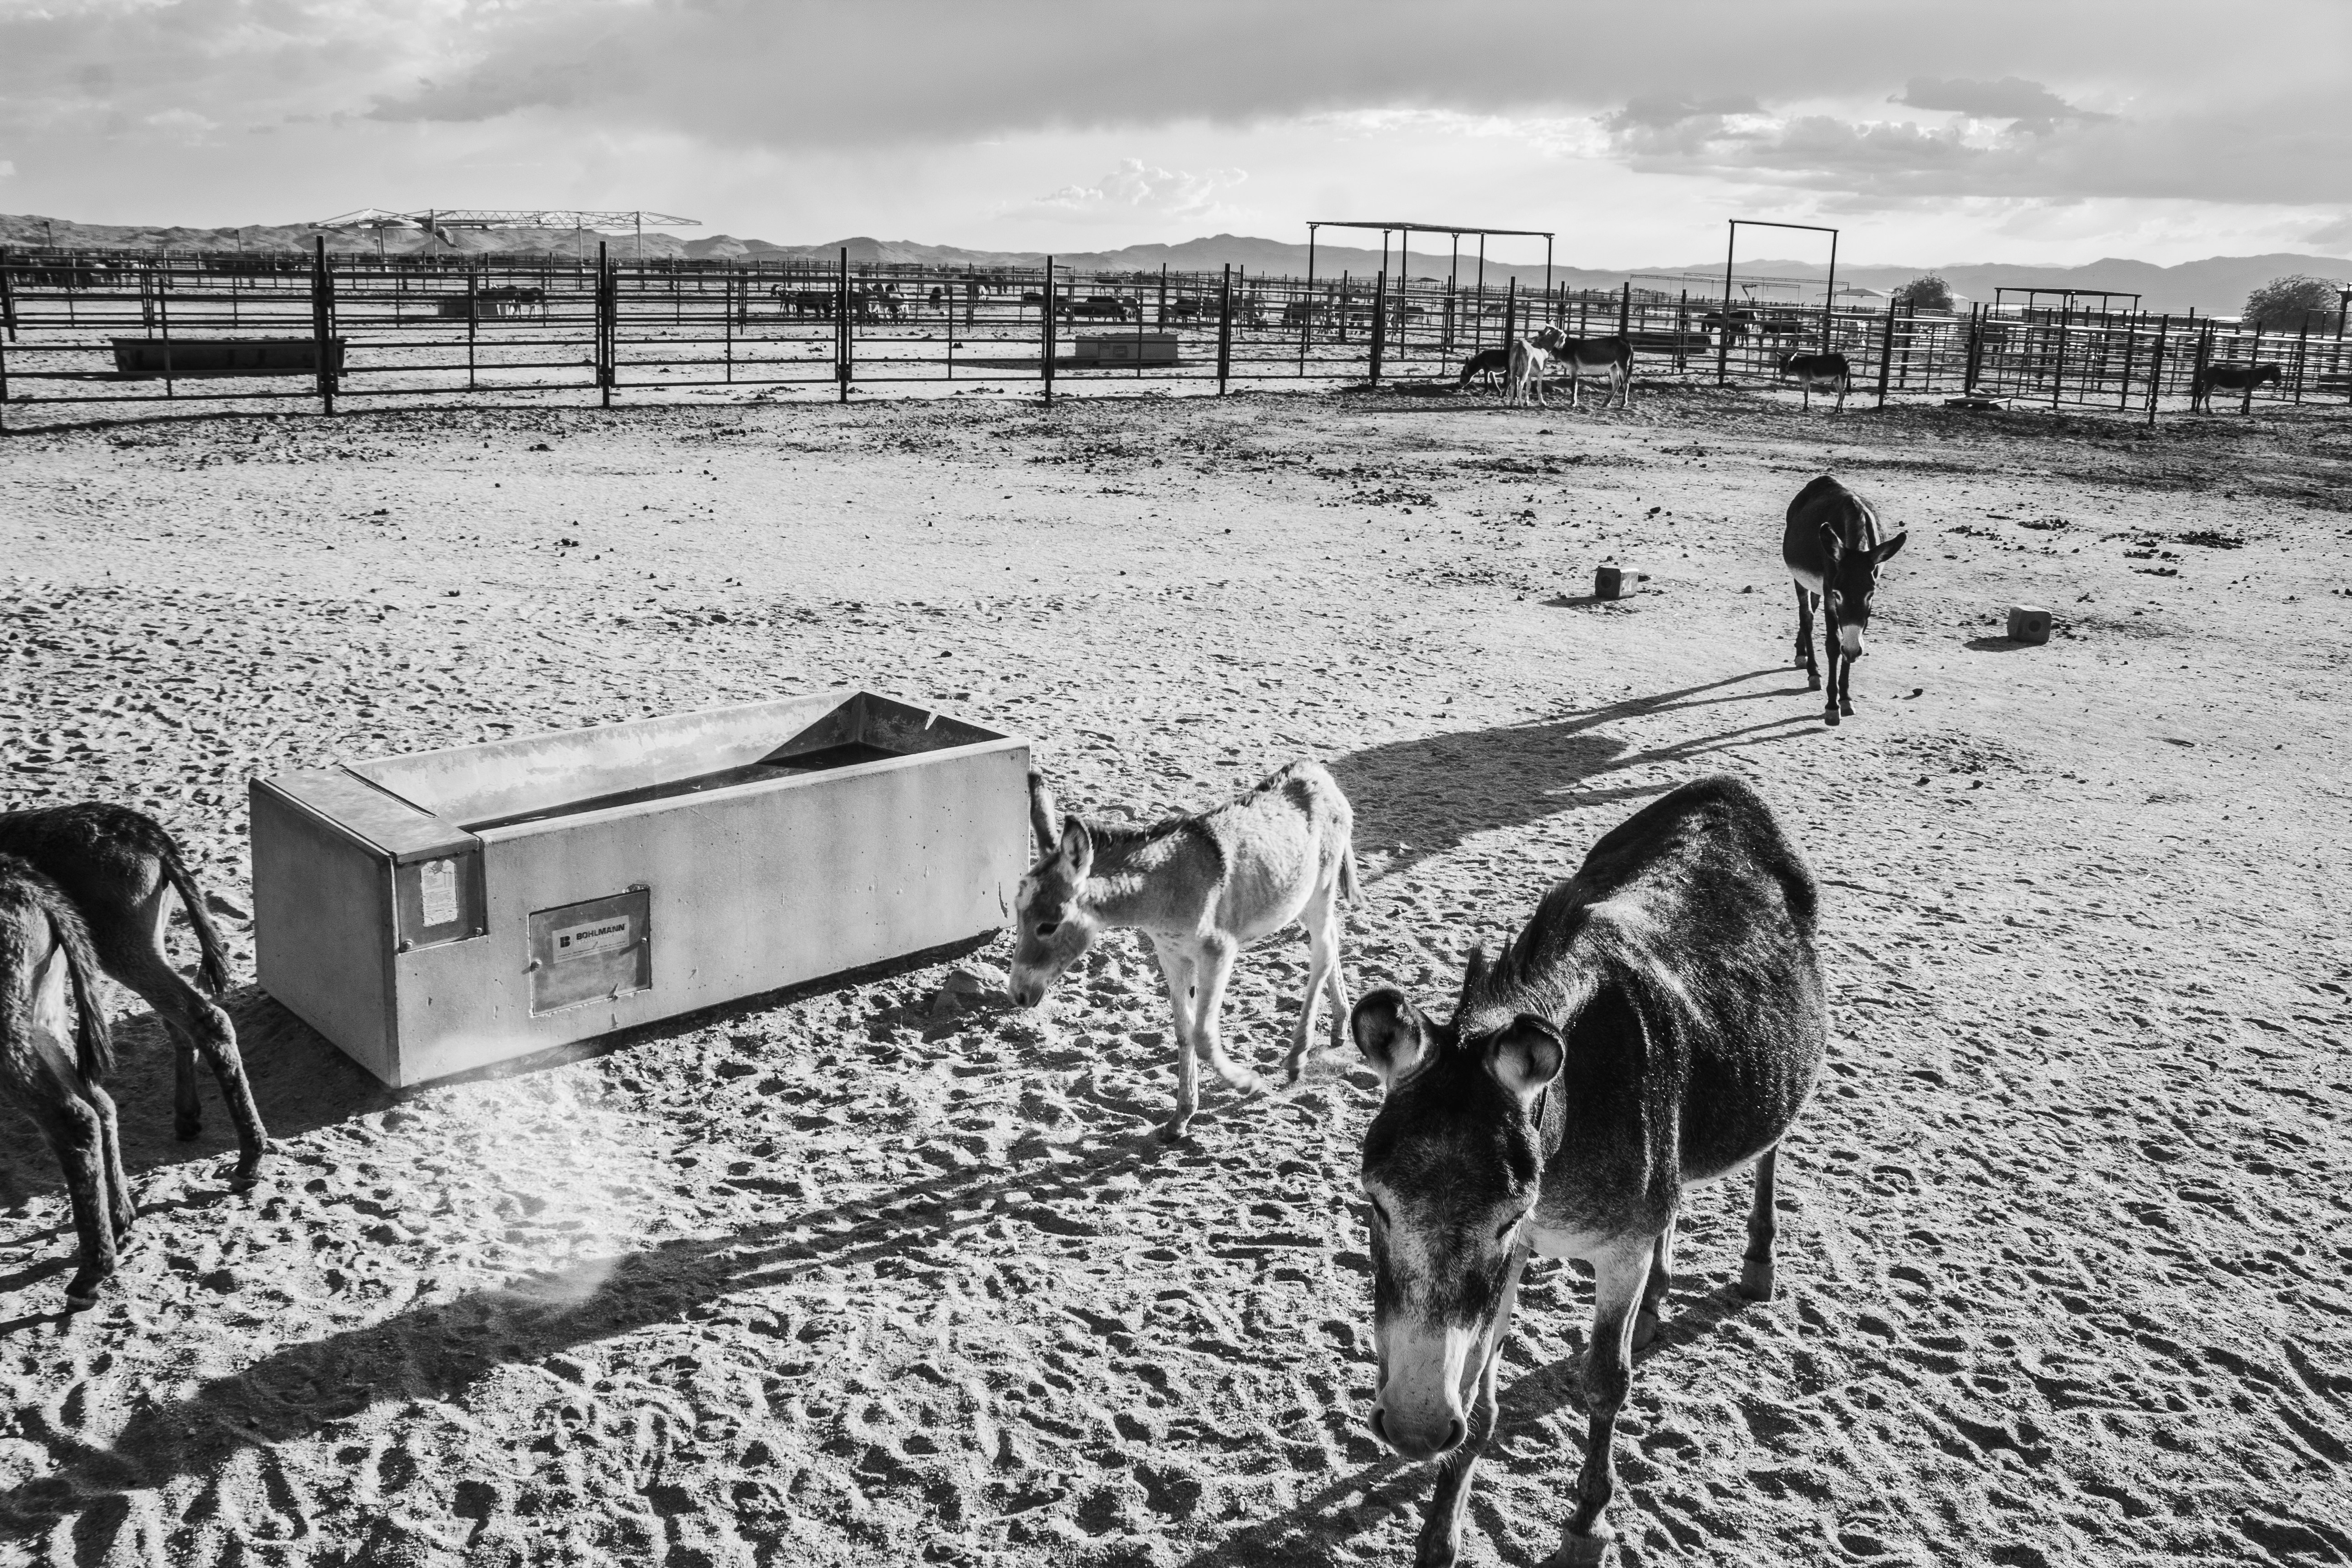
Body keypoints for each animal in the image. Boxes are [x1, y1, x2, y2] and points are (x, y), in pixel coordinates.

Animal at [1011, 764, 1359, 1139]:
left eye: (1049, 925)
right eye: (1017, 912)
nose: (1017, 994)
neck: (1165, 889)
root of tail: (1316, 771)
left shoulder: (1218, 953)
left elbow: (1203, 1036)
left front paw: (1247, 1084)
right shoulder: (1171, 956)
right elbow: (1183, 1032)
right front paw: (1180, 1118)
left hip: (1321, 888)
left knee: (1322, 953)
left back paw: (1297, 1057)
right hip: (1303, 899)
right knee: (1333, 940)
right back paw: (1340, 1024)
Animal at [1351, 775, 1825, 1566]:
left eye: (1508, 1216)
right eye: (1376, 1202)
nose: (1415, 1429)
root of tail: (1725, 787)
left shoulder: (1611, 1248)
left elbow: (1605, 1383)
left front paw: (1587, 1522)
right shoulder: (1513, 1265)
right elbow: (1478, 1401)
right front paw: (1439, 1535)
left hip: (1777, 1080)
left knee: (1766, 1156)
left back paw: (1757, 1265)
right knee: (1675, 1203)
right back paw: (1658, 1304)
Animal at [1783, 475, 1906, 726]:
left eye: (1871, 594)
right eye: (1839, 594)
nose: (1852, 650)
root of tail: (1823, 479)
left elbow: (1851, 638)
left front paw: (1846, 699)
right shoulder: (1830, 594)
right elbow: (1833, 645)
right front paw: (1832, 707)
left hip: (1816, 586)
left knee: (1812, 611)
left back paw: (1802, 653)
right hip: (1800, 579)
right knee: (1806, 616)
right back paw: (1813, 671)